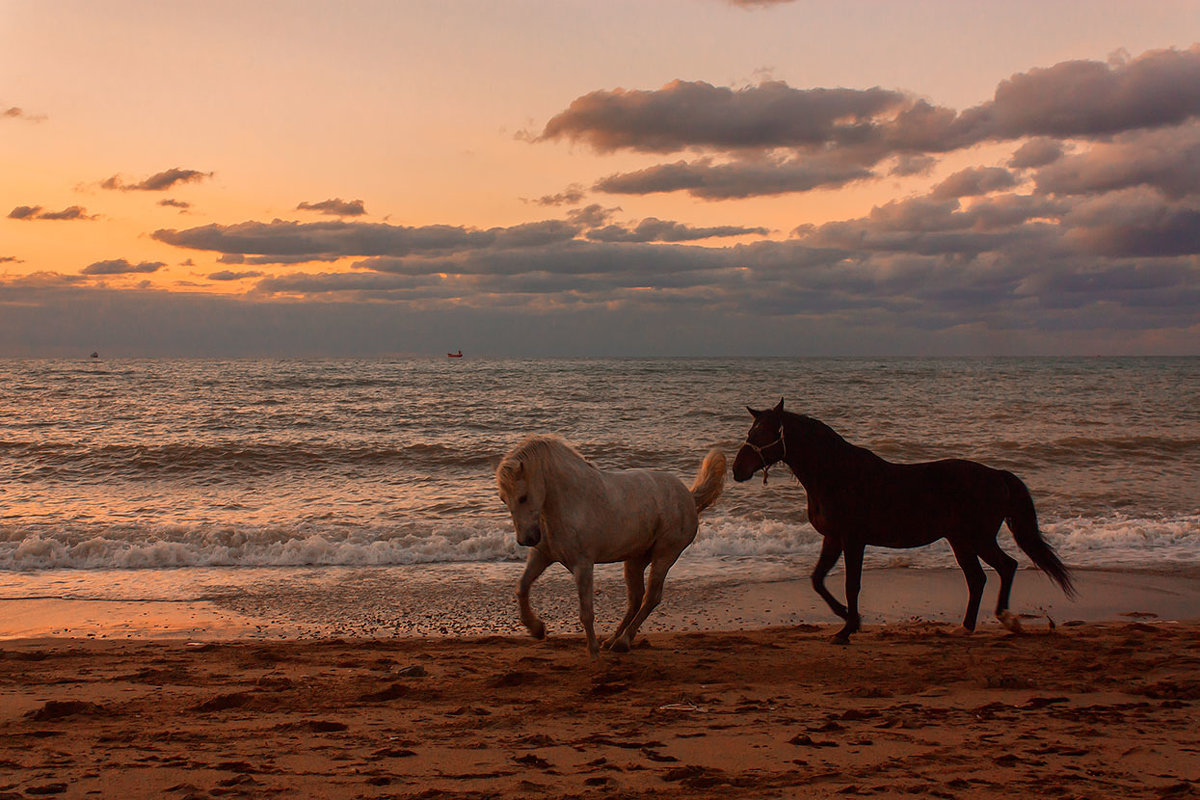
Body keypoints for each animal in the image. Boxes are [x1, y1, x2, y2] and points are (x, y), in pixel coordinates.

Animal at [494, 438, 720, 657]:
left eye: (523, 497)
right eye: (504, 499)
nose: (526, 539)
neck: (571, 502)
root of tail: (689, 496)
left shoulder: (583, 565)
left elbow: (586, 612)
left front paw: (592, 650)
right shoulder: (542, 556)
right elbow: (522, 587)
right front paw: (536, 629)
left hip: (664, 556)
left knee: (651, 597)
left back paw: (622, 642)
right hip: (635, 560)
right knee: (635, 599)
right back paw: (612, 640)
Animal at [729, 400, 1080, 642]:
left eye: (765, 432)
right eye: (750, 432)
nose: (736, 470)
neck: (837, 474)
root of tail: (998, 475)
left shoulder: (853, 540)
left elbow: (851, 584)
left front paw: (847, 628)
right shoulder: (833, 538)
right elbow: (818, 580)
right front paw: (847, 619)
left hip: (976, 538)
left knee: (1004, 567)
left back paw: (1005, 619)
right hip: (961, 540)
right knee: (980, 577)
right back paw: (968, 626)